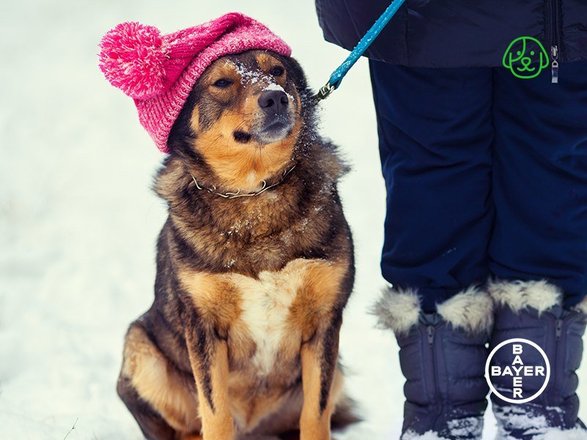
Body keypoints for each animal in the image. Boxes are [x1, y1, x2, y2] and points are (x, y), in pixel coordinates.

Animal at [113, 49, 354, 440]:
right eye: (222, 82)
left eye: (278, 71)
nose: (275, 97)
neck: (252, 191)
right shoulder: (203, 325)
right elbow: (215, 412)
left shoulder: (324, 320)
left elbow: (315, 414)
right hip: (141, 347)